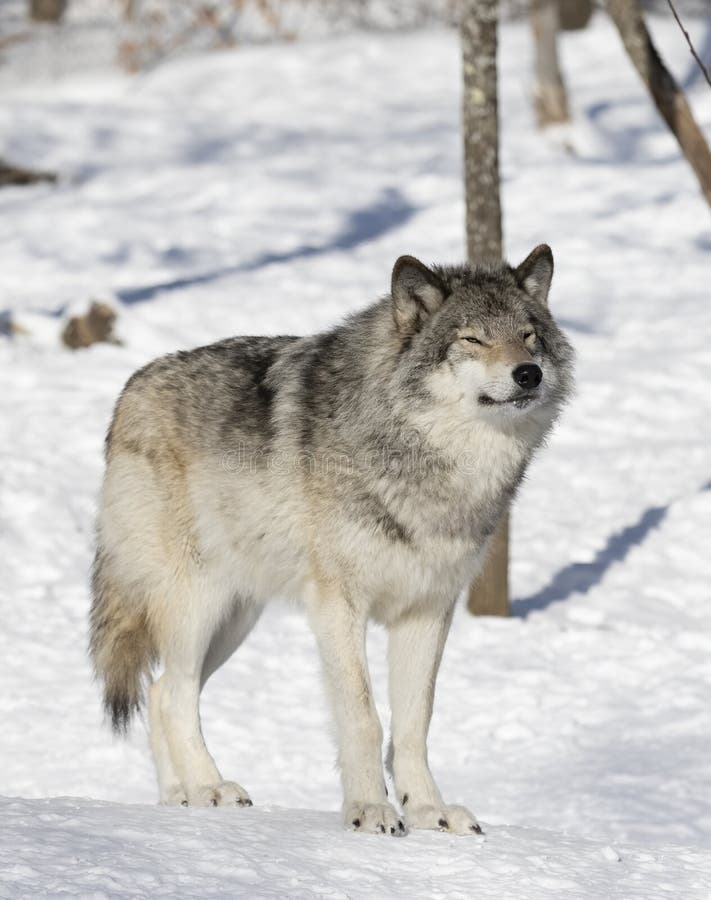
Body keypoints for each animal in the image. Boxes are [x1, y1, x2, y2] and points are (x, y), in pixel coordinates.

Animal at [92, 244, 576, 836]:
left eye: (530, 335)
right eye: (473, 339)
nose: (528, 373)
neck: (431, 465)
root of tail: (130, 391)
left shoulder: (428, 609)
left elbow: (414, 724)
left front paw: (429, 811)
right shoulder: (338, 607)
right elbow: (363, 717)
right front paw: (371, 811)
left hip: (235, 621)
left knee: (161, 690)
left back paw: (178, 797)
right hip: (197, 606)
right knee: (172, 696)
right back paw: (210, 788)